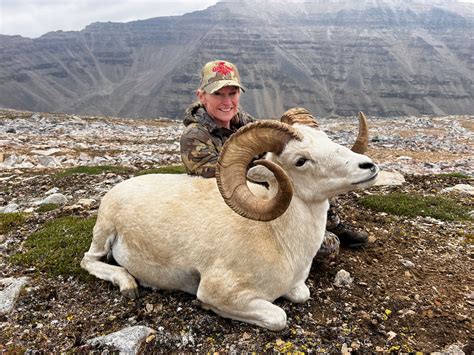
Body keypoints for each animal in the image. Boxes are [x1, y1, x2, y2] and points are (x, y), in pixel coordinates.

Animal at [80, 112, 378, 332]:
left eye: (326, 138)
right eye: (300, 160)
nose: (369, 166)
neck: (277, 237)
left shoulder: (296, 287)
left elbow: (300, 294)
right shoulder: (220, 292)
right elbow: (278, 317)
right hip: (103, 234)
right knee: (89, 261)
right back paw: (129, 284)